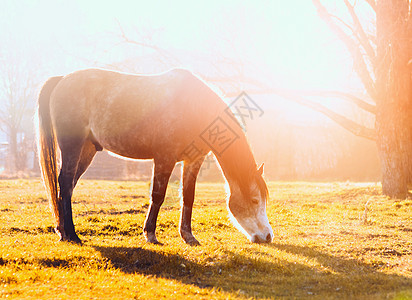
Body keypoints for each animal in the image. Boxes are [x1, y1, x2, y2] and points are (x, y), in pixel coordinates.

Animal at [36, 68, 274, 246]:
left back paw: (62, 231)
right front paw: (150, 234)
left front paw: (188, 236)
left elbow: (188, 197)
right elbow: (158, 196)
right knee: (65, 183)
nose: (268, 236)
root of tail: (62, 80)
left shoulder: (193, 160)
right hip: (72, 146)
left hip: (87, 150)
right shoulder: (164, 158)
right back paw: (72, 235)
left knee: (67, 186)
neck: (193, 106)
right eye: (255, 200)